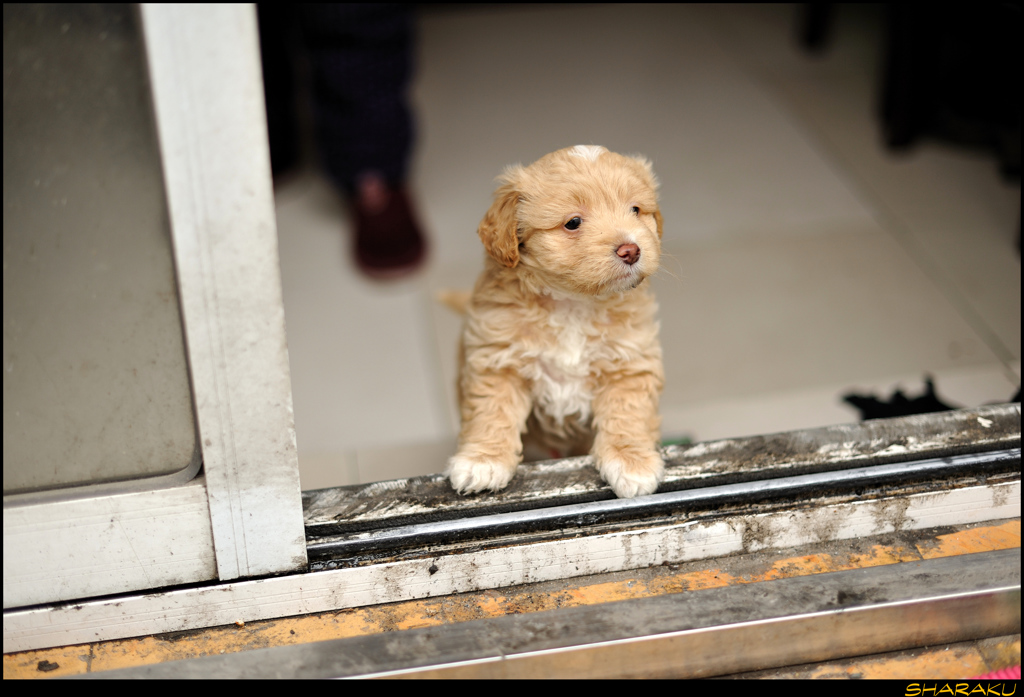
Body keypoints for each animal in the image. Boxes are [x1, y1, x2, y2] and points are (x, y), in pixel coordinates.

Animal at [446, 144, 663, 497]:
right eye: (573, 222)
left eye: (635, 209)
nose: (631, 250)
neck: (573, 304)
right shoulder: (498, 361)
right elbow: (491, 411)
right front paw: (483, 461)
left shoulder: (629, 362)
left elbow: (627, 412)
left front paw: (632, 463)